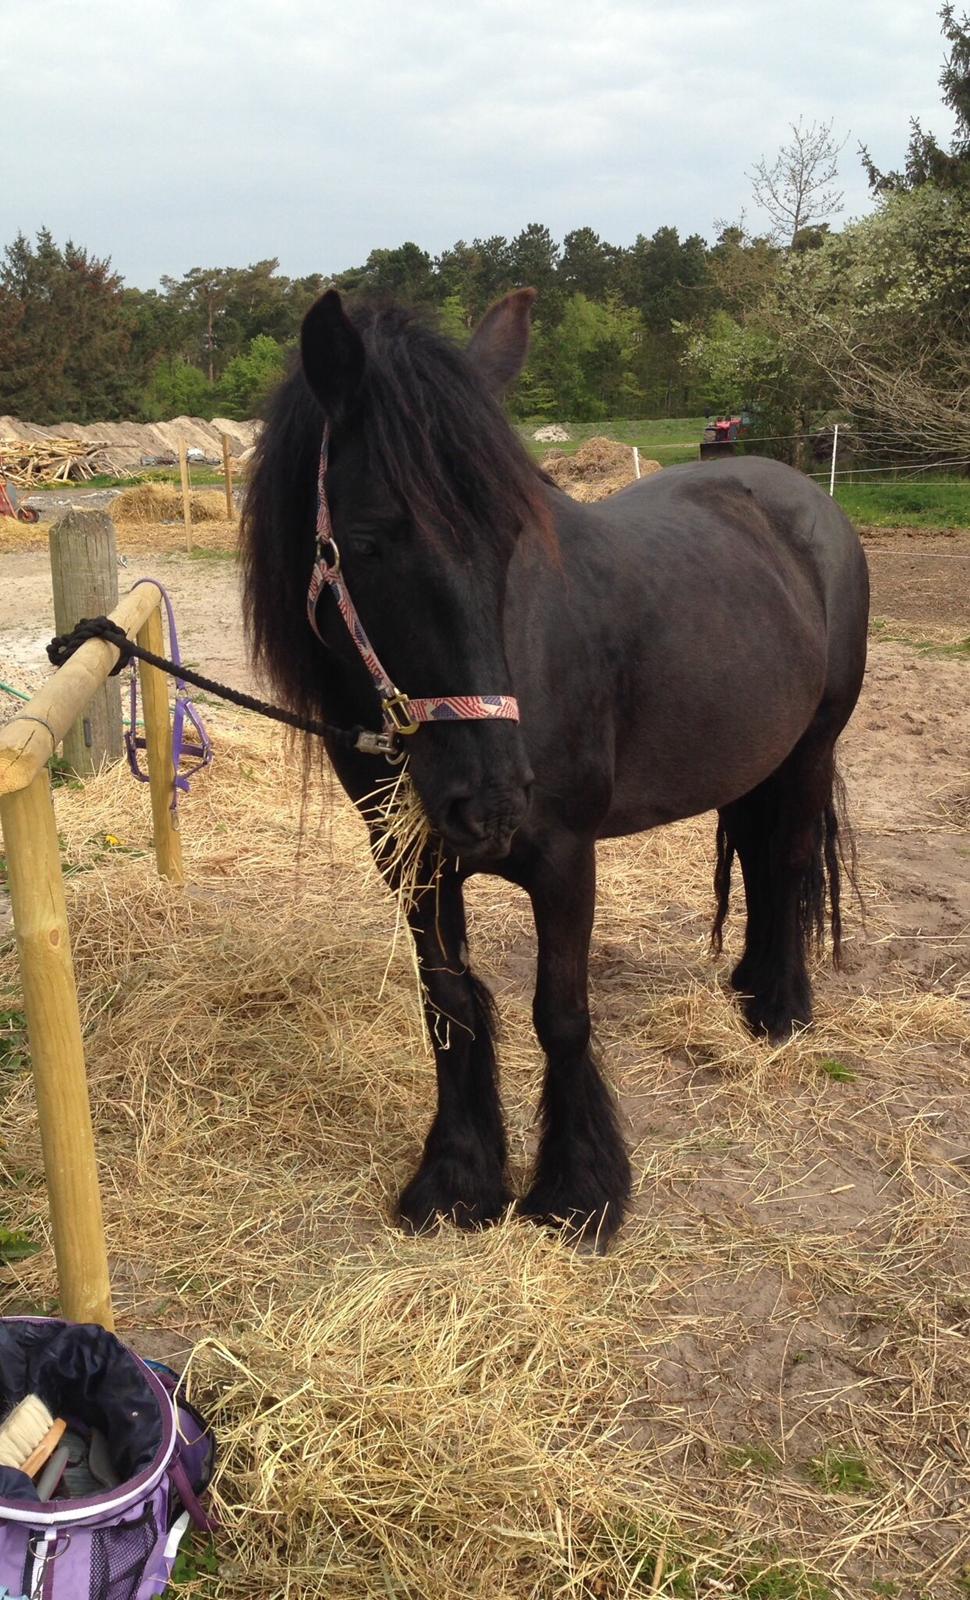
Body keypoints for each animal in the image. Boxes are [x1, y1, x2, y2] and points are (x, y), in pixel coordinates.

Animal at [243, 288, 869, 1246]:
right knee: (764, 869)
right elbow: (450, 1006)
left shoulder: (567, 858)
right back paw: (750, 986)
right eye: (370, 539)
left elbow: (561, 1014)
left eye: (508, 537)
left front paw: (578, 1191)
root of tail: (805, 502)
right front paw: (458, 1180)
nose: (494, 800)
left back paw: (779, 1008)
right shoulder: (412, 862)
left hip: (810, 748)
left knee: (790, 863)